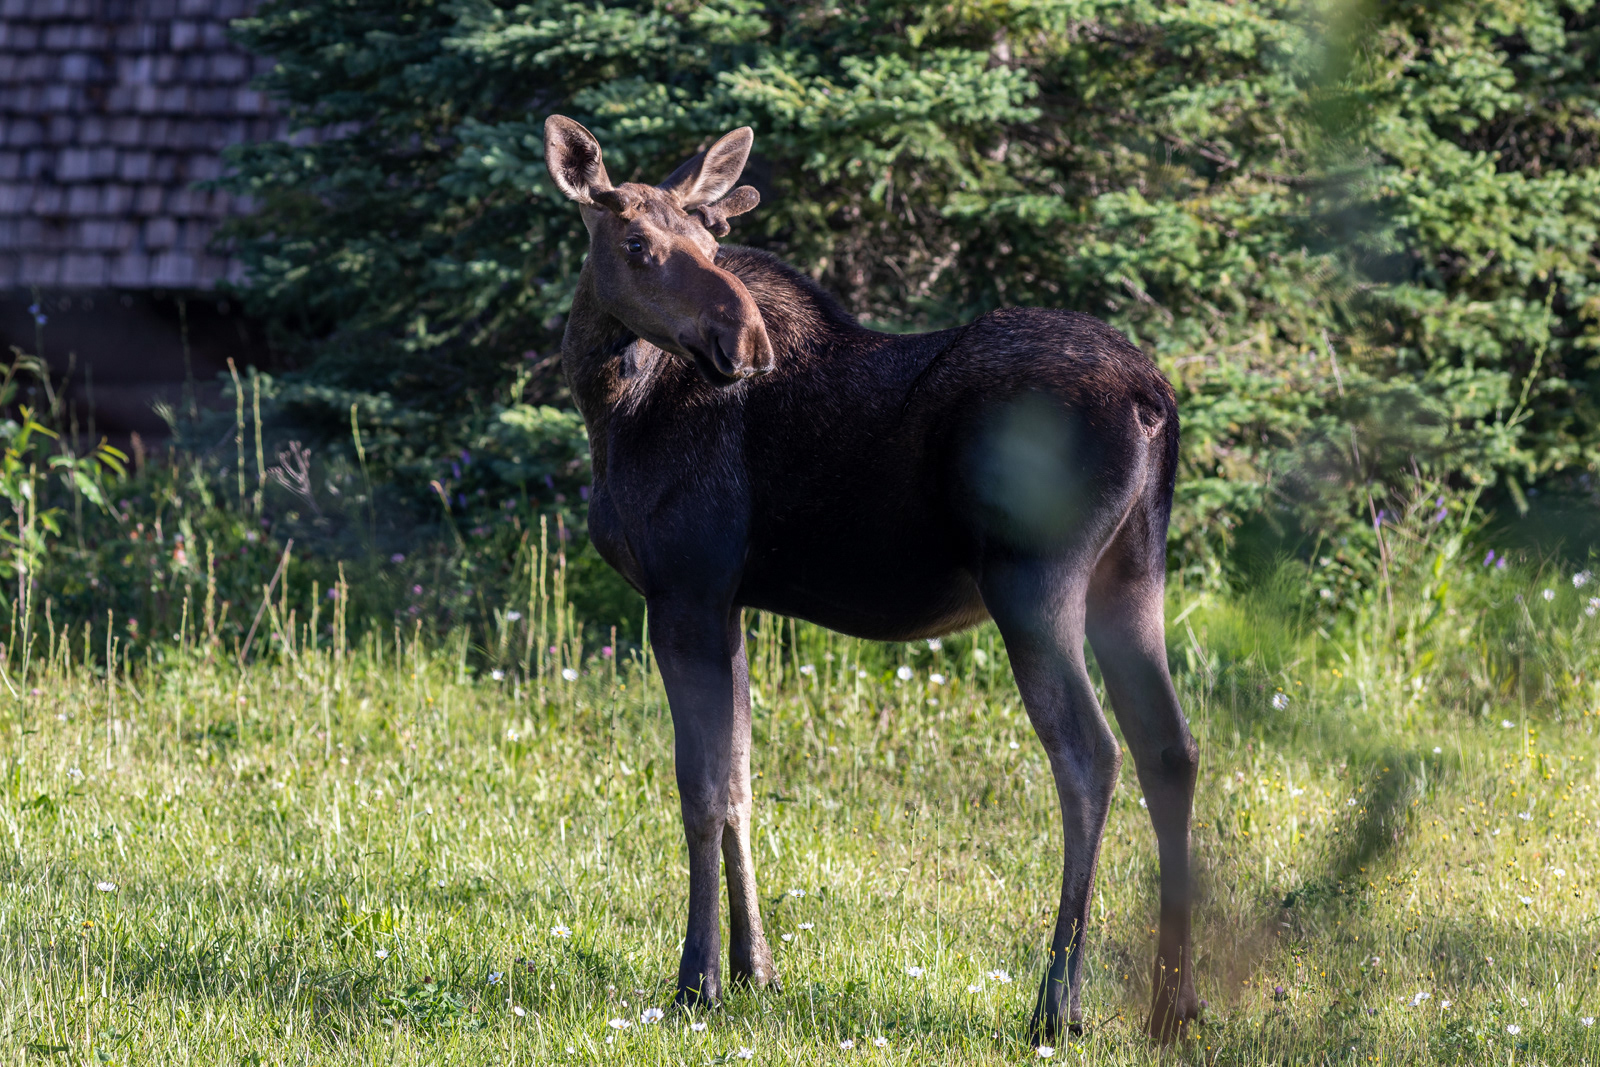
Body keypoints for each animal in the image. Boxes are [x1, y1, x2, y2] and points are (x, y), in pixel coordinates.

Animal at [543, 115, 1201, 1043]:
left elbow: (700, 789)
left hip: (1033, 583)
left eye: (709, 240)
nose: (744, 343)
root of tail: (1154, 403)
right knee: (1168, 748)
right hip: (1133, 576)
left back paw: (1057, 1003)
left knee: (1090, 755)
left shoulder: (686, 594)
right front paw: (756, 969)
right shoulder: (727, 603)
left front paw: (697, 980)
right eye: (636, 242)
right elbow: (741, 781)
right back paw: (1173, 1003)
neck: (612, 407)